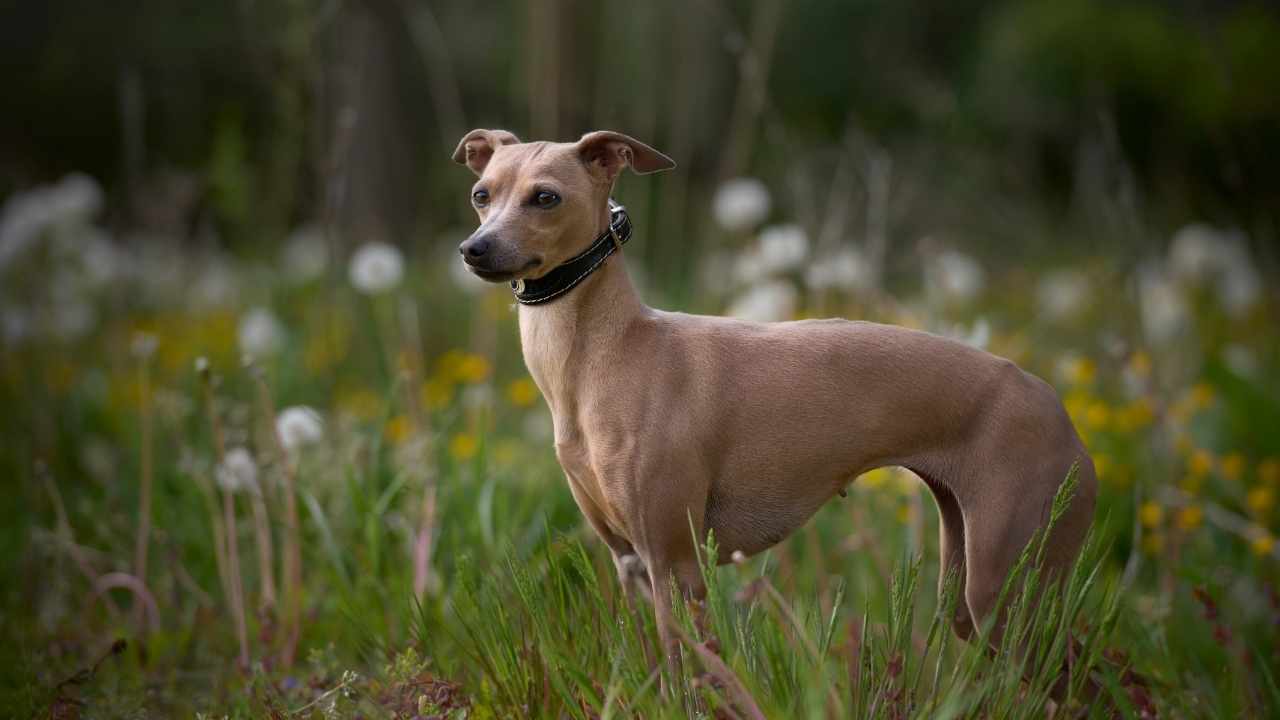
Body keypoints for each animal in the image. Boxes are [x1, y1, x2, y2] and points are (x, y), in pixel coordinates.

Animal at [448, 127, 1090, 676]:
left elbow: (692, 679)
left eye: (546, 197)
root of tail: (1054, 402)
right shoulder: (630, 564)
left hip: (1005, 587)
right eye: (482, 194)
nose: (474, 249)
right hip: (968, 587)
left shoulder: (676, 566)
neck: (609, 354)